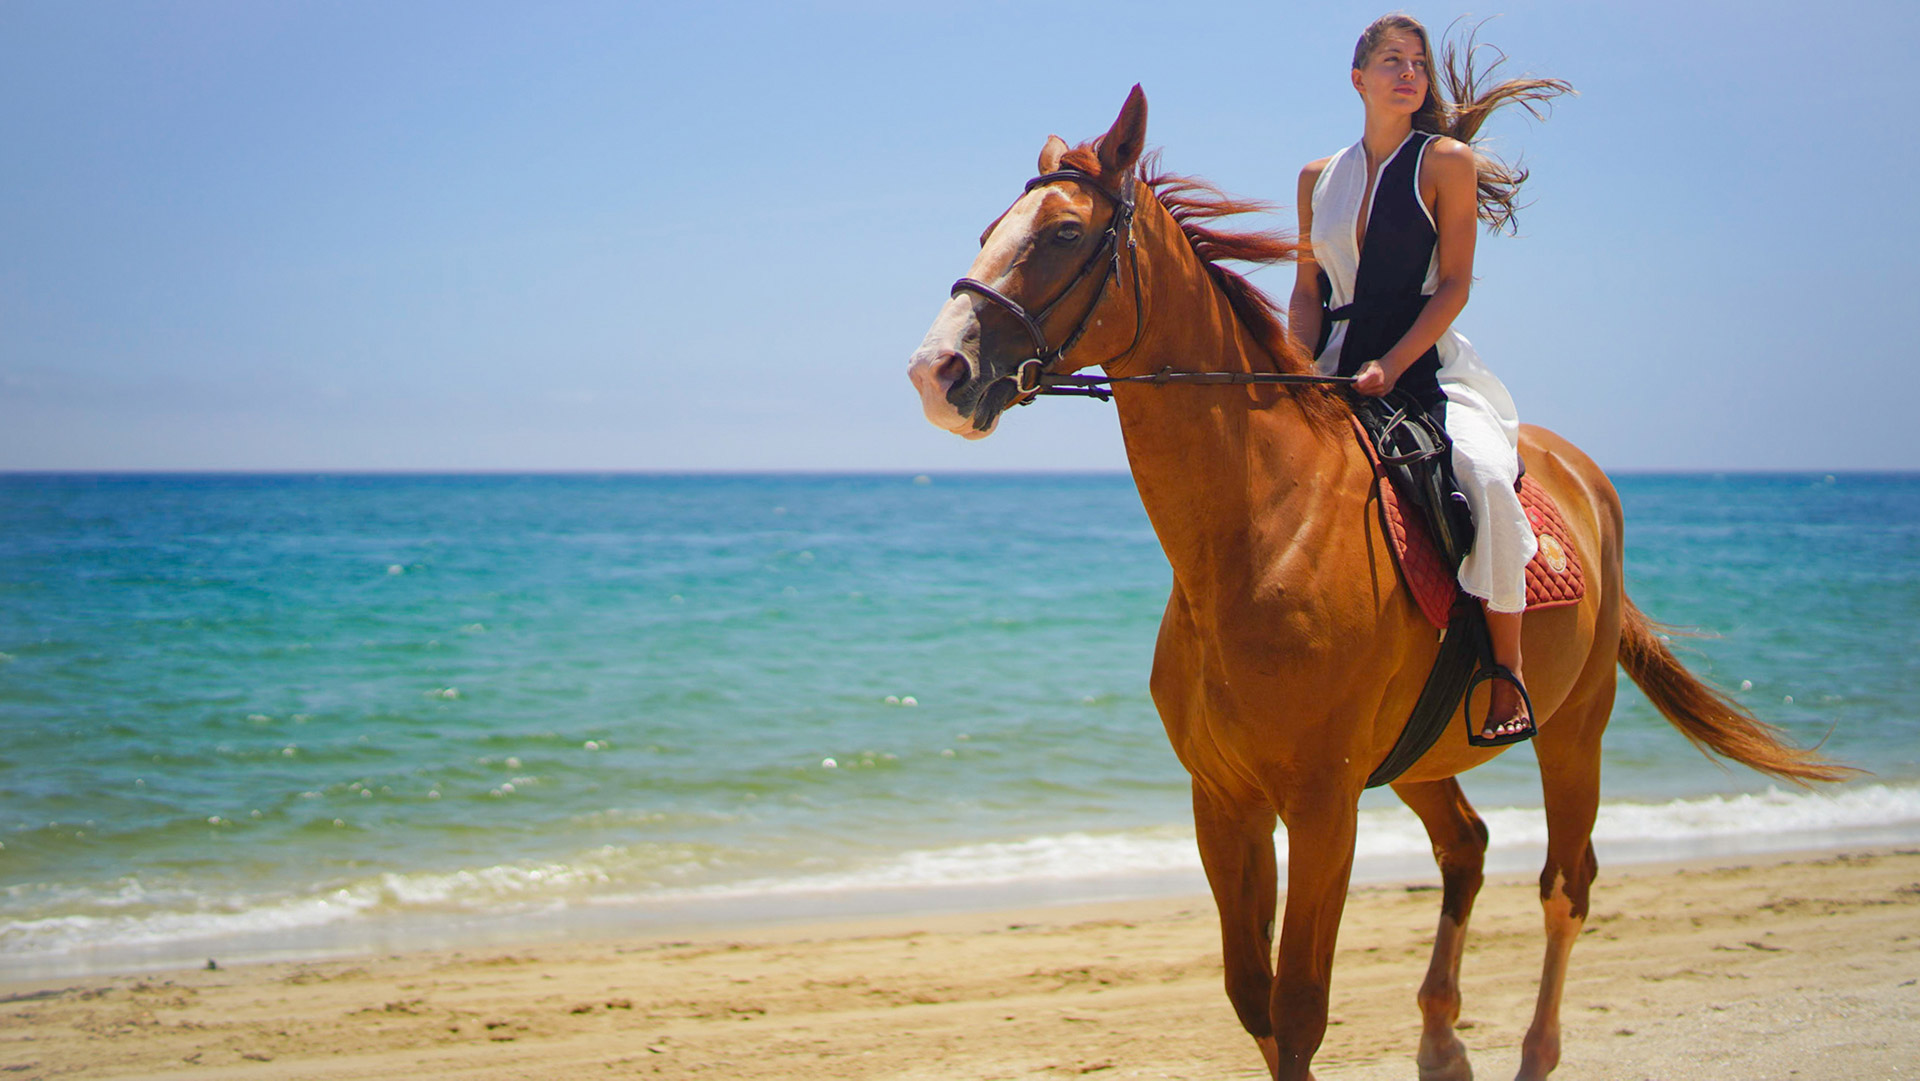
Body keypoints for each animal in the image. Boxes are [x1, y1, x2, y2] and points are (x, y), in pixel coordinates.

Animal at [906, 86, 1848, 1081]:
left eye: (1062, 233)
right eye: (990, 231)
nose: (937, 370)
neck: (1257, 533)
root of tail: (1586, 476)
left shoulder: (1322, 806)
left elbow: (1299, 1007)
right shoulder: (1225, 801)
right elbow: (1255, 1001)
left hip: (1573, 731)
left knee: (1565, 885)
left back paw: (1533, 1049)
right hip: (1419, 756)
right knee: (1466, 847)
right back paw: (1440, 1037)